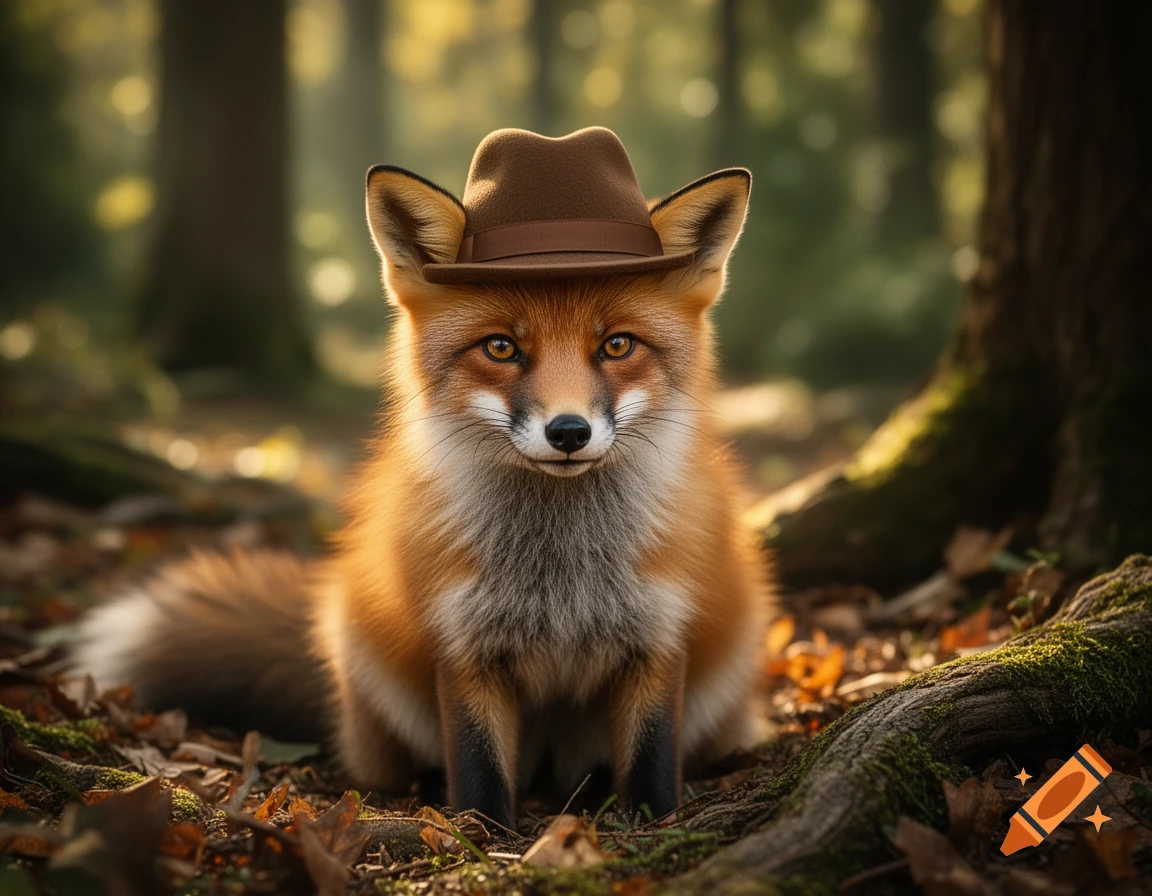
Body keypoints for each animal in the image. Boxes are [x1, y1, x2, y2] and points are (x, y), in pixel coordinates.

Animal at [73, 128, 770, 828]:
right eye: (501, 348)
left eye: (618, 345)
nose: (569, 432)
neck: (560, 576)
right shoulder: (462, 646)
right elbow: (479, 770)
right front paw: (483, 838)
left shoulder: (658, 639)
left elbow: (653, 762)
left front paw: (652, 824)